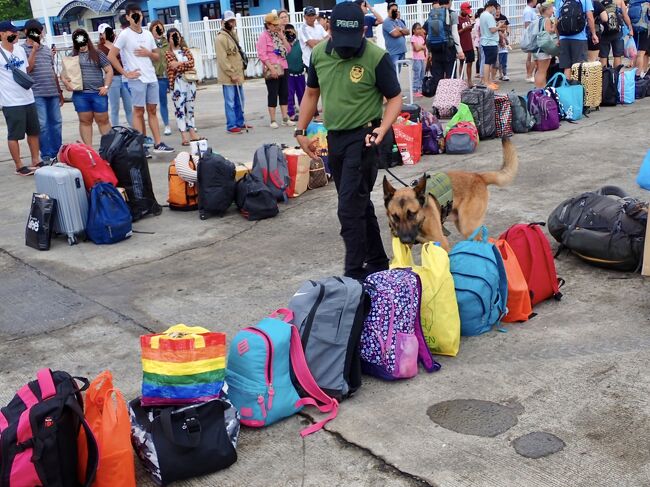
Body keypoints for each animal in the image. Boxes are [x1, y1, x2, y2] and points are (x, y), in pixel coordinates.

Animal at [384, 137, 516, 252]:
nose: (405, 240)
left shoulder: (442, 244)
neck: (421, 220)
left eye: (412, 214)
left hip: (467, 226)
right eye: (395, 216)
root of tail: (479, 176)